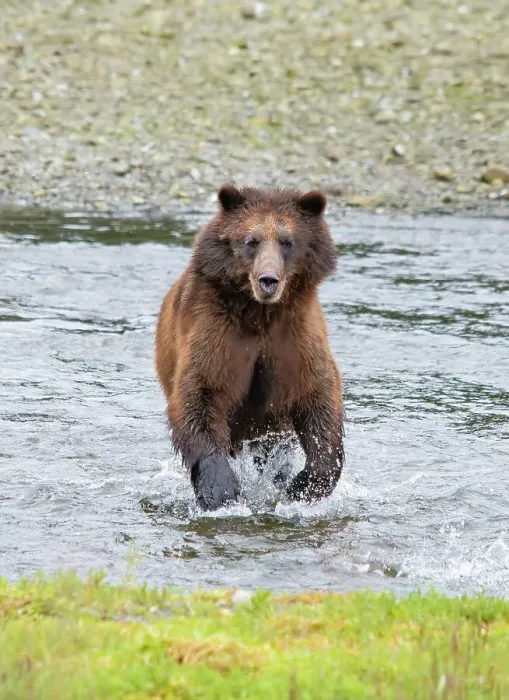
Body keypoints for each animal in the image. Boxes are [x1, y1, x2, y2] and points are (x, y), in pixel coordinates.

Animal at [155, 184, 344, 511]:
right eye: (251, 241)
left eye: (287, 241)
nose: (268, 280)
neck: (260, 313)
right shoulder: (216, 330)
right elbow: (201, 393)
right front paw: (221, 489)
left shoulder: (295, 338)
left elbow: (318, 395)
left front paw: (303, 486)